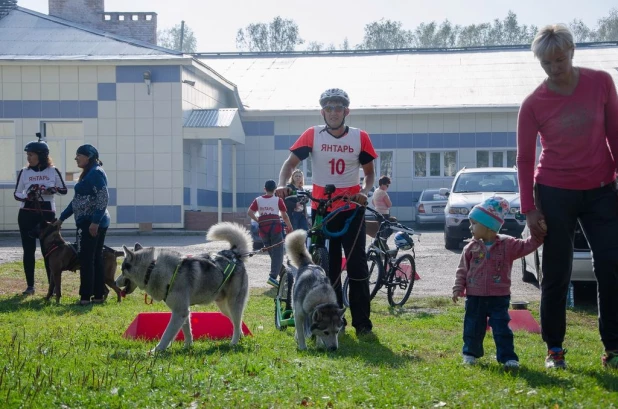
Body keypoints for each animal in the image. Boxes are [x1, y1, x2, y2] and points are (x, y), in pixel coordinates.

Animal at [115, 222, 250, 352]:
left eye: (122, 270)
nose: (115, 282)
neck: (152, 269)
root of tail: (234, 254)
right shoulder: (183, 312)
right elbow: (187, 332)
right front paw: (188, 347)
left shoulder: (179, 312)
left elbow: (167, 335)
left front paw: (156, 351)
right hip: (223, 307)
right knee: (237, 323)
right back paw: (240, 337)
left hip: (233, 304)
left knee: (237, 322)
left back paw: (234, 343)